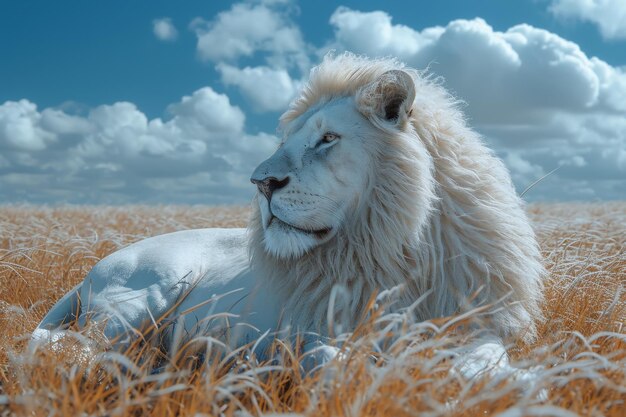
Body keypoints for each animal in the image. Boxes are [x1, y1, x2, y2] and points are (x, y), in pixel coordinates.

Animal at [33, 53, 540, 376]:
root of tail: (93, 270)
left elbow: (485, 362)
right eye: (283, 143)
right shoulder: (310, 331)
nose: (261, 183)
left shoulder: (473, 321)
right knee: (66, 348)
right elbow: (330, 363)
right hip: (138, 297)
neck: (394, 251)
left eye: (327, 139)